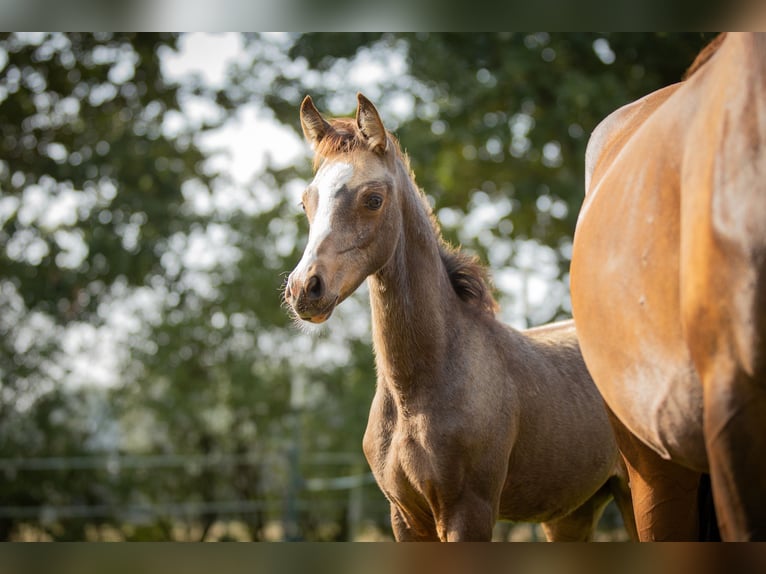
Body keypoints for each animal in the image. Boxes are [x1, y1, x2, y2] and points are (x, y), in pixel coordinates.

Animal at [284, 92, 640, 544]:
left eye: (373, 199)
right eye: (306, 201)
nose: (304, 289)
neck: (415, 392)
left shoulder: (468, 512)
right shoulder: (404, 519)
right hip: (573, 511)